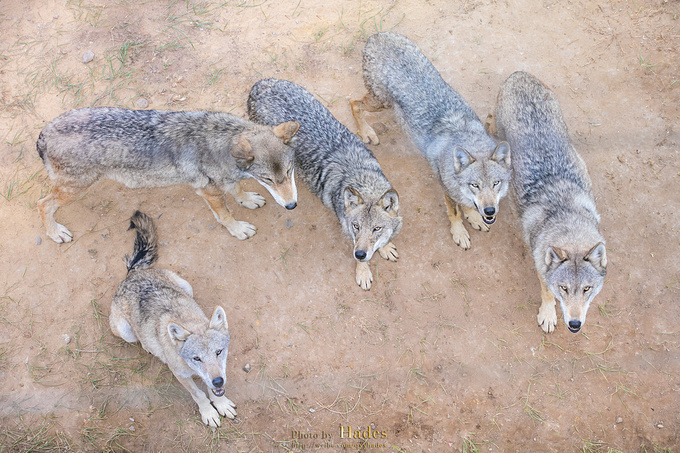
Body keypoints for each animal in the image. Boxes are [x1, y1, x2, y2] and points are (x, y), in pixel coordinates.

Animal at [37, 108, 300, 244]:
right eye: (268, 179)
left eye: (289, 172)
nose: (292, 206)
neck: (221, 144)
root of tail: (43, 133)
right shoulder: (209, 192)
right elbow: (225, 215)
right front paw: (238, 230)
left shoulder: (225, 181)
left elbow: (238, 189)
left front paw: (247, 200)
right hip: (74, 189)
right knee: (43, 203)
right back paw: (55, 232)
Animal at [110, 210, 238, 426]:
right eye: (196, 358)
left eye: (219, 352)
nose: (218, 381)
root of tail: (132, 275)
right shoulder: (180, 375)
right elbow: (199, 395)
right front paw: (208, 413)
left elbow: (212, 392)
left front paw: (221, 404)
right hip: (126, 333)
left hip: (187, 286)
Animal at [247, 77, 402, 290]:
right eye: (356, 226)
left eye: (376, 229)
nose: (360, 254)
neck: (358, 175)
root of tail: (259, 84)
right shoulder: (347, 229)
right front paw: (363, 271)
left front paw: (385, 248)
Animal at [492, 70, 608, 332]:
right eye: (563, 288)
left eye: (587, 289)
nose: (574, 325)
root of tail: (518, 73)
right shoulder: (541, 267)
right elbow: (546, 293)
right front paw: (548, 315)